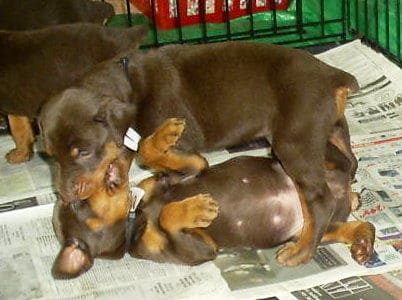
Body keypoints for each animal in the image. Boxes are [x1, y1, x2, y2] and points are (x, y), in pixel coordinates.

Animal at [51, 118, 374, 278]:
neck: (137, 215)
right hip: (310, 228)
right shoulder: (201, 250)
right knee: (349, 218)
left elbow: (148, 151)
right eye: (76, 203)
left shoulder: (188, 170)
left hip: (298, 162)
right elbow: (168, 216)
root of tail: (340, 189)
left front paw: (165, 134)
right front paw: (199, 207)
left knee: (344, 158)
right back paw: (361, 243)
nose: (112, 154)